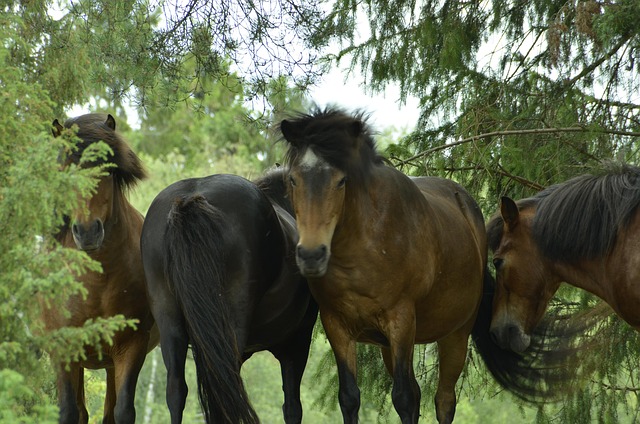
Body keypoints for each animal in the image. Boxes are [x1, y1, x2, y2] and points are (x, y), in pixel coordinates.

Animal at [44, 113, 158, 423]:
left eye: (107, 169)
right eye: (67, 170)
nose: (87, 232)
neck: (98, 281)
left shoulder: (131, 347)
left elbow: (122, 412)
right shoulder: (63, 349)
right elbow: (69, 411)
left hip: (109, 363)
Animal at [278, 107, 558, 424]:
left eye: (341, 180)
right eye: (293, 179)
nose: (311, 255)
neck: (363, 247)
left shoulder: (401, 320)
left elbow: (403, 397)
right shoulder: (336, 325)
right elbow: (349, 397)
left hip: (454, 335)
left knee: (443, 399)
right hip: (390, 345)